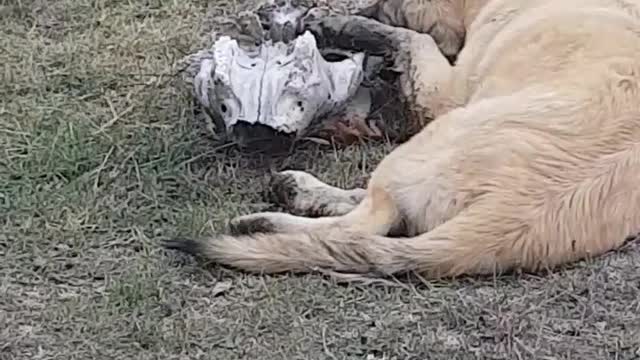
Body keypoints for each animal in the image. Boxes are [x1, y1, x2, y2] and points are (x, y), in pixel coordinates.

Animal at [162, 0, 640, 280]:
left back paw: (265, 219)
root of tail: (510, 218)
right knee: (374, 224)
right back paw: (297, 192)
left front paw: (343, 24)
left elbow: (415, 37)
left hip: (428, 143)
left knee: (362, 226)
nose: (366, 6)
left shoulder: (444, 92)